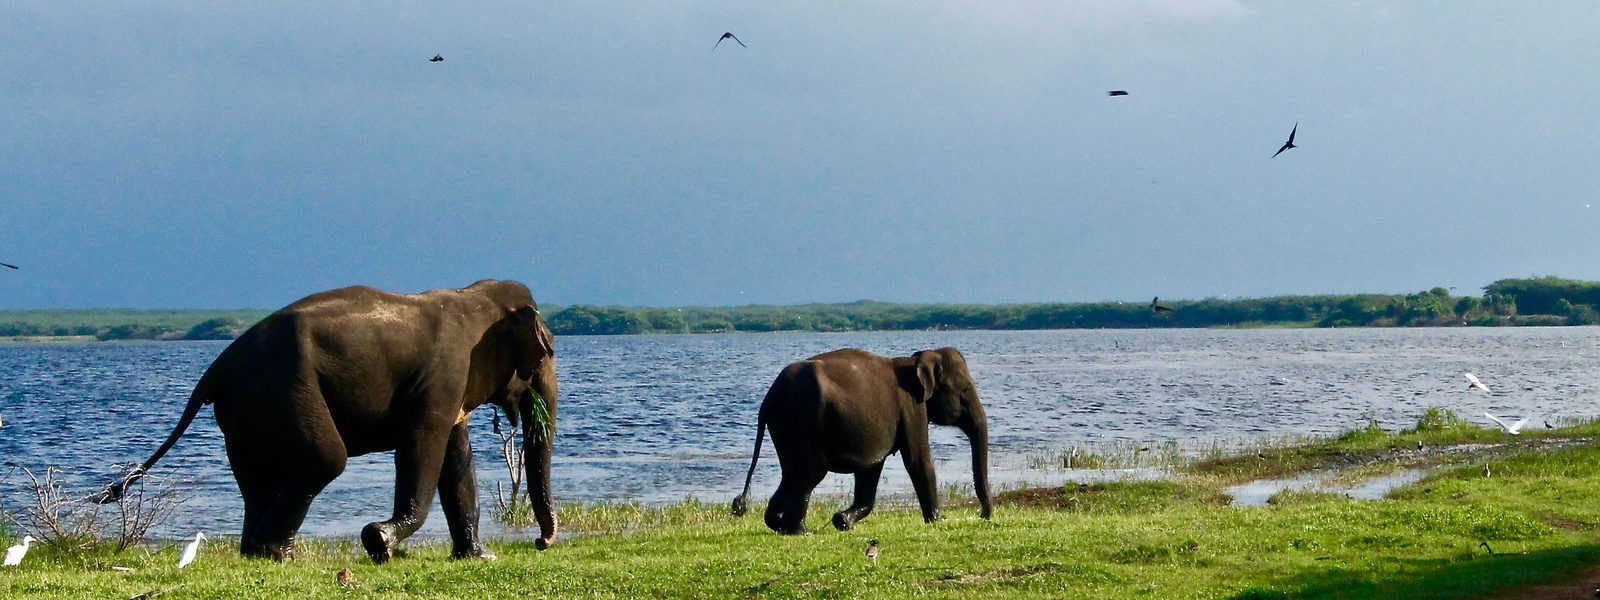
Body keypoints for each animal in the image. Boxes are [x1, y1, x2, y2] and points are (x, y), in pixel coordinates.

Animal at [96, 280, 563, 563]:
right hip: (285, 392)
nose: (541, 543)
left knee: (257, 480)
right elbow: (422, 448)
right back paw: (277, 552)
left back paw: (258, 551)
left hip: (245, 414)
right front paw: (379, 542)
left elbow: (455, 459)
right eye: (548, 352)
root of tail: (216, 369)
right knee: (325, 460)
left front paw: (479, 557)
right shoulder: (443, 378)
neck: (472, 297)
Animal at [732, 347, 985, 534]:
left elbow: (871, 468)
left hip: (784, 428)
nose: (983, 515)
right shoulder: (912, 407)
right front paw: (938, 521)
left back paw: (777, 524)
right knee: (809, 474)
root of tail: (768, 399)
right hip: (803, 421)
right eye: (964, 390)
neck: (916, 360)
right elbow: (918, 461)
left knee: (791, 473)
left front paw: (842, 521)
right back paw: (801, 531)